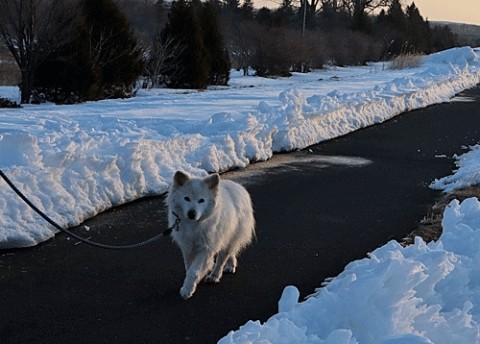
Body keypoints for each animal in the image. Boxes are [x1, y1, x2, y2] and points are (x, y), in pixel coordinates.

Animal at [165, 171, 255, 300]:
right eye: (186, 198)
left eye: (201, 200)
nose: (192, 214)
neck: (194, 225)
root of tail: (240, 187)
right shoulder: (187, 248)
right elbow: (189, 267)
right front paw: (191, 284)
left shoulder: (205, 249)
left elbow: (194, 270)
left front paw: (187, 290)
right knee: (231, 253)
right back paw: (230, 265)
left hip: (228, 237)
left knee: (222, 259)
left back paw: (214, 276)